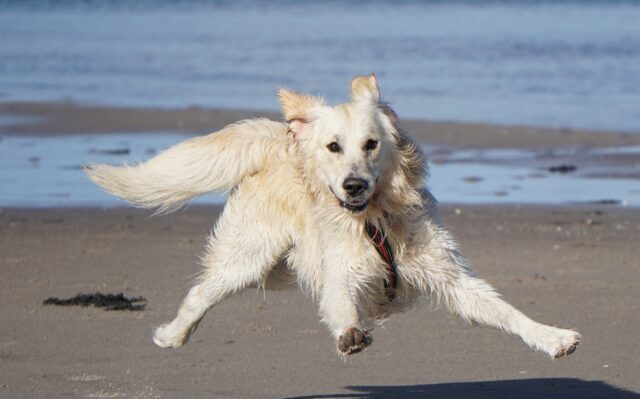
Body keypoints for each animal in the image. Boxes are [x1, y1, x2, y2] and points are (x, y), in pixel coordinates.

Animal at [87, 75, 584, 360]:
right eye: (333, 146)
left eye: (371, 144)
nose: (354, 185)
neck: (376, 221)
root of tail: (281, 138)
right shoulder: (340, 271)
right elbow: (342, 303)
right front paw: (350, 333)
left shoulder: (450, 276)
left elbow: (506, 311)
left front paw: (552, 337)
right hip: (248, 257)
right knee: (200, 293)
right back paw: (172, 335)